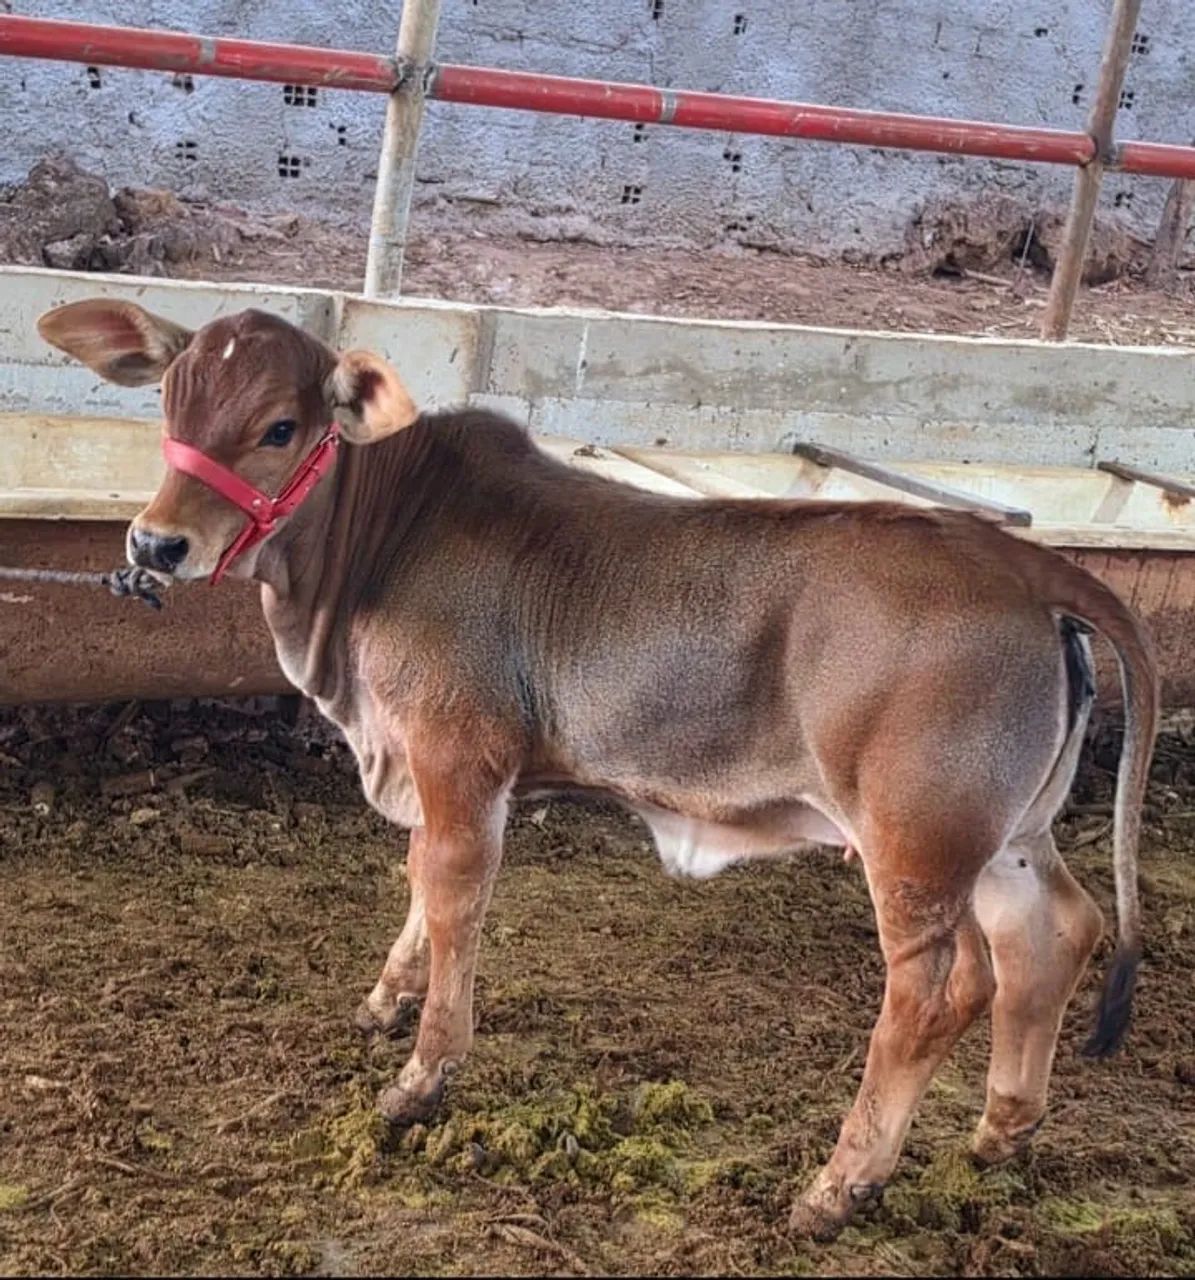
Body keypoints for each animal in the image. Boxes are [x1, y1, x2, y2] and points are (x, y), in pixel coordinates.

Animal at [37, 298, 1157, 1241]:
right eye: (171, 399)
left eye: (279, 426)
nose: (156, 542)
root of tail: (1024, 565)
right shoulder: (432, 765)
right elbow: (418, 886)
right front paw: (386, 1000)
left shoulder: (458, 754)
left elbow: (451, 896)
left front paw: (420, 1078)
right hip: (1005, 835)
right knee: (1053, 934)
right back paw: (1001, 1130)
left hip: (916, 838)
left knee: (935, 989)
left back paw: (838, 1185)